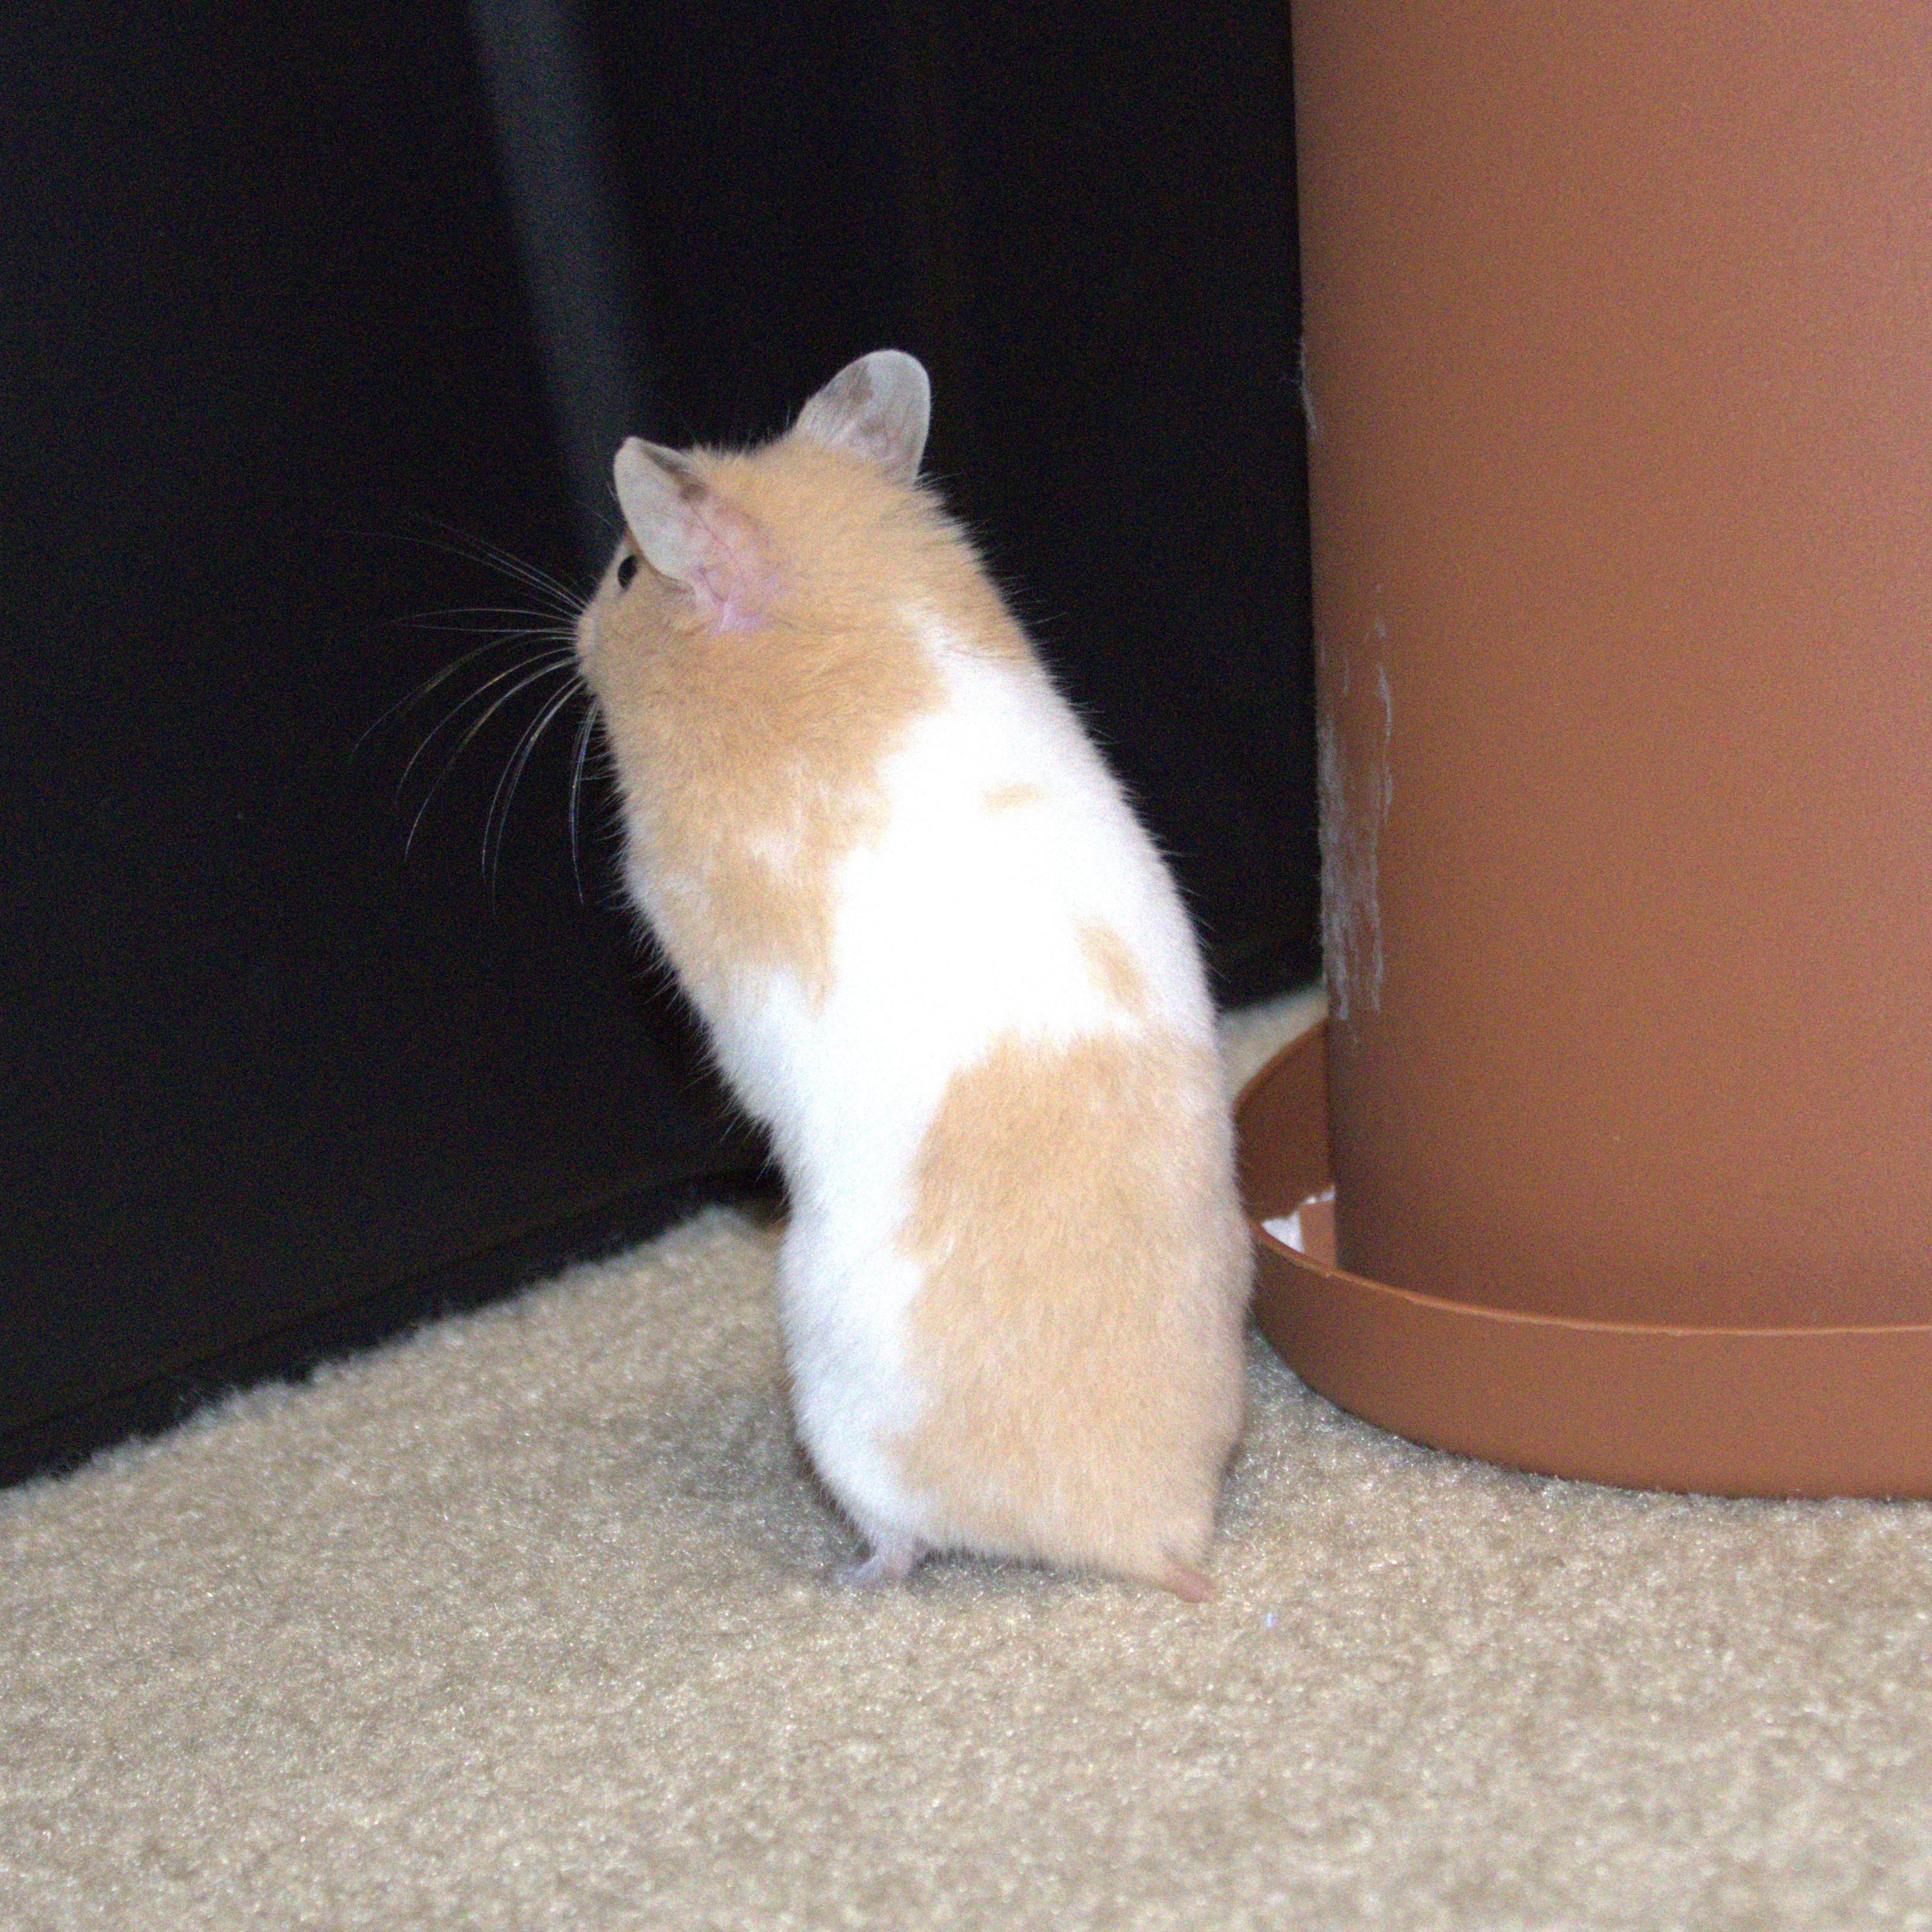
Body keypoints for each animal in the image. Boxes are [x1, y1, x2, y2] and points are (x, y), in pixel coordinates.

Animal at [574, 350, 1251, 1598]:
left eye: (628, 569)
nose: (578, 629)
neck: (844, 599)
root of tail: (1159, 1536)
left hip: (830, 1394)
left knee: (902, 1535)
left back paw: (847, 1575)